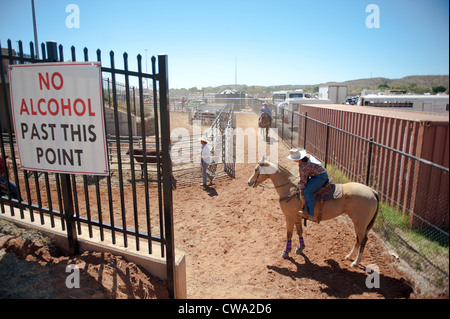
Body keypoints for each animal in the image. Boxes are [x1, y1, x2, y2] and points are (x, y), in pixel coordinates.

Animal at [248, 159, 378, 268]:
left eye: (256, 169)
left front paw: (286, 252)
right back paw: (349, 256)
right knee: (358, 239)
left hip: (360, 224)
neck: (289, 188)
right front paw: (300, 248)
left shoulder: (289, 216)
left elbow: (289, 234)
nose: (249, 182)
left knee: (363, 240)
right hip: (358, 223)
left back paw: (356, 262)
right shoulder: (297, 216)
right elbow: (299, 231)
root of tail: (372, 191)